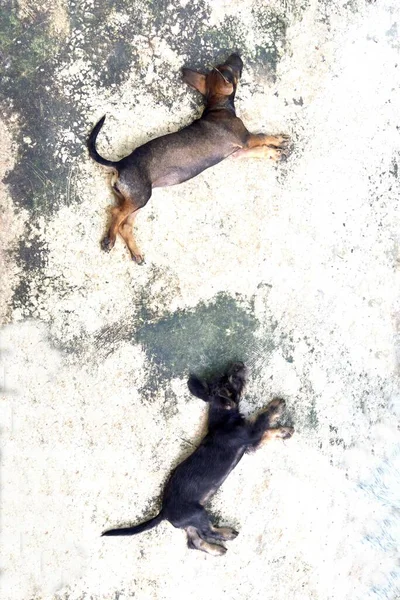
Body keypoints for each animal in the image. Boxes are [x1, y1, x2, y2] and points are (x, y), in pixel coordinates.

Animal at [87, 53, 290, 262]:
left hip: (137, 199)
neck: (217, 106)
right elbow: (262, 136)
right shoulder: (246, 139)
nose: (236, 53)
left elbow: (259, 151)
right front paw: (277, 140)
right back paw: (109, 240)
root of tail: (119, 164)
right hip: (140, 197)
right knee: (115, 212)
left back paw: (135, 252)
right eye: (231, 68)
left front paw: (273, 152)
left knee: (125, 224)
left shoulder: (238, 152)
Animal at [101, 360, 292, 552]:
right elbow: (262, 418)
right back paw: (226, 534)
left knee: (194, 541)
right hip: (198, 513)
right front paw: (276, 405)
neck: (223, 416)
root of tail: (164, 512)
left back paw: (216, 550)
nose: (238, 363)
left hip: (190, 522)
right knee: (208, 532)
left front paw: (284, 431)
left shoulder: (251, 444)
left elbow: (268, 432)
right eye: (232, 380)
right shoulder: (250, 433)